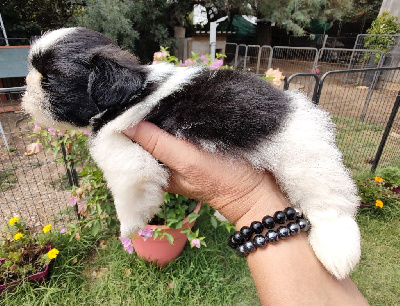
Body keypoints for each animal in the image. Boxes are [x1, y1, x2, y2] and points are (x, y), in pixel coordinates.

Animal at [21, 27, 360, 278]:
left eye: (50, 79)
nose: (26, 88)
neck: (132, 92)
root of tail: (295, 106)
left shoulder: (117, 142)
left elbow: (127, 187)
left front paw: (129, 227)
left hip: (302, 154)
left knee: (328, 199)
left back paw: (337, 247)